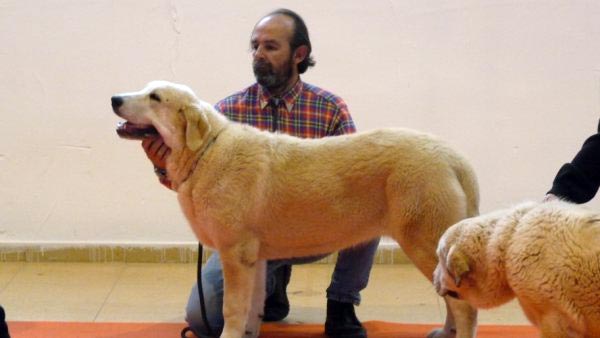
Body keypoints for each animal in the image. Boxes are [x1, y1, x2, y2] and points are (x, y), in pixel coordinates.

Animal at [110, 82, 480, 338]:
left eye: (155, 97)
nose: (114, 98)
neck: (205, 152)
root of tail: (454, 156)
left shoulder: (235, 254)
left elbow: (232, 308)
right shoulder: (254, 259)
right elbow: (252, 308)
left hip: (422, 240)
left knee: (464, 304)